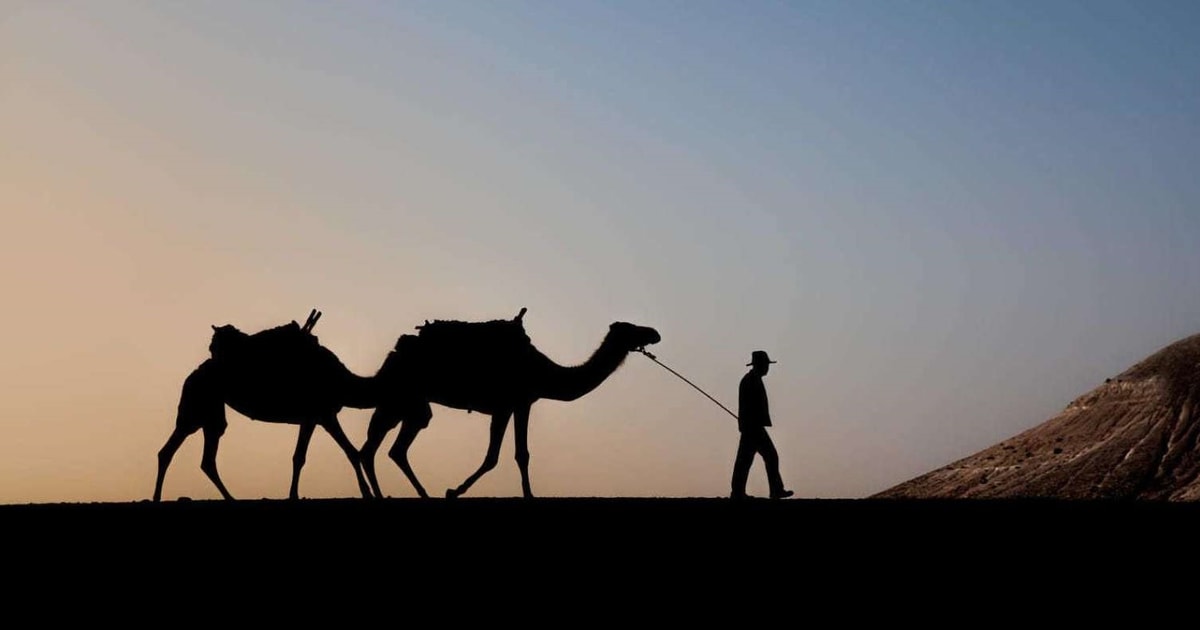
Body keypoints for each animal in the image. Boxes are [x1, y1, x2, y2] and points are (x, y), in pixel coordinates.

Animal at [152, 309, 374, 501]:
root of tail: (191, 376)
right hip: (198, 406)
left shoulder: (312, 418)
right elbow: (351, 452)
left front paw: (293, 495)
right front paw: (367, 493)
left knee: (196, 455)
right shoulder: (325, 414)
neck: (342, 381)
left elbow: (300, 457)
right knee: (179, 449)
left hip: (208, 411)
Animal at [360, 307, 662, 499]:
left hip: (408, 402)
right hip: (401, 397)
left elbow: (516, 453)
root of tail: (396, 352)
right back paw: (384, 495)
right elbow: (500, 456)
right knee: (376, 446)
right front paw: (455, 491)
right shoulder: (510, 404)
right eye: (631, 329)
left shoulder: (519, 404)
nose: (654, 333)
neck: (544, 372)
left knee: (389, 448)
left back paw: (409, 494)